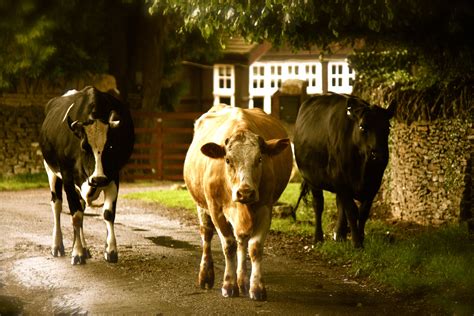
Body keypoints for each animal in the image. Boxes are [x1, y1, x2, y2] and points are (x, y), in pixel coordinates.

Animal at [39, 86, 134, 264]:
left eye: (110, 146)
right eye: (84, 146)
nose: (98, 178)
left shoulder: (113, 176)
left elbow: (108, 213)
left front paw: (110, 251)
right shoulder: (68, 178)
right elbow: (75, 215)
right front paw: (77, 254)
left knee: (82, 208)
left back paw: (85, 248)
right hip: (50, 170)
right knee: (57, 205)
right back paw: (57, 246)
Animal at [182, 104, 290, 302]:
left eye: (260, 159)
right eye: (227, 160)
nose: (245, 192)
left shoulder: (265, 207)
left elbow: (254, 247)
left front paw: (256, 287)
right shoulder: (216, 209)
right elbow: (228, 245)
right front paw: (228, 284)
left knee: (242, 239)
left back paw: (243, 279)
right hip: (201, 205)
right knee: (207, 234)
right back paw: (206, 275)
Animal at [294, 92, 394, 248]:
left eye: (387, 128)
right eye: (362, 127)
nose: (379, 155)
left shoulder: (374, 184)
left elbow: (363, 212)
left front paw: (360, 238)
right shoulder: (341, 181)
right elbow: (352, 211)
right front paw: (357, 243)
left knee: (340, 205)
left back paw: (339, 235)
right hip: (311, 179)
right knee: (318, 205)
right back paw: (318, 238)